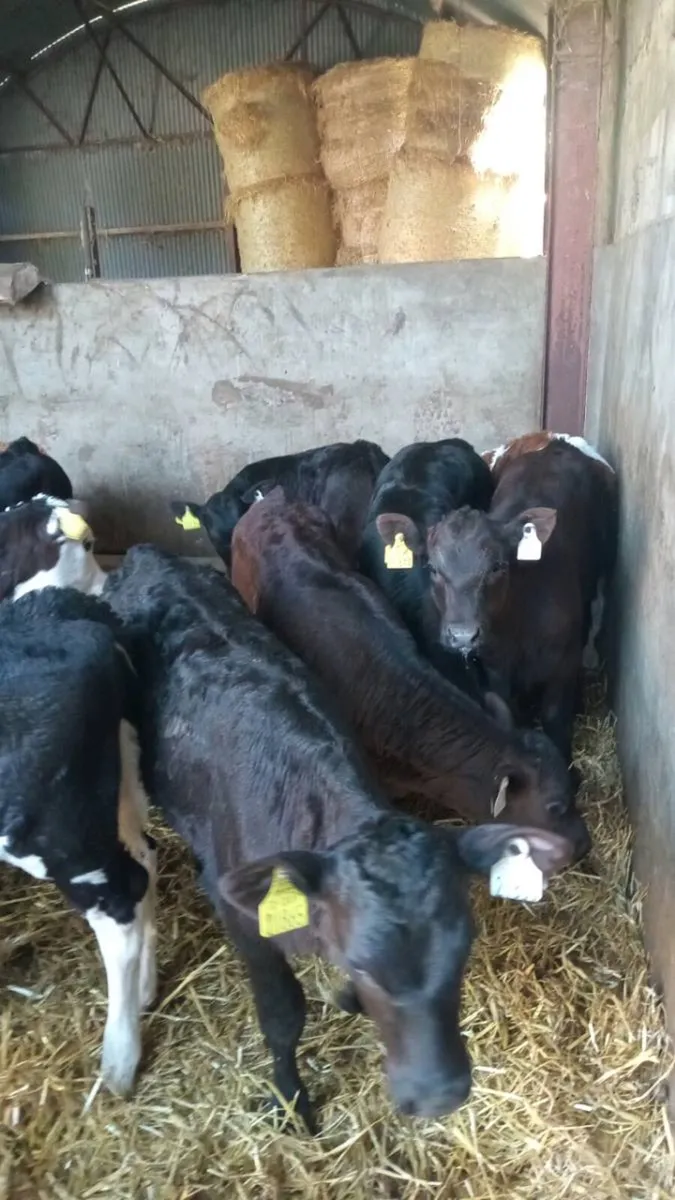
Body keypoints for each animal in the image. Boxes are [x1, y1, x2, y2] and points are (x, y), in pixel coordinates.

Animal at [103, 546, 575, 1129]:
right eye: (365, 965)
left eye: (462, 951)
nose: (439, 1095)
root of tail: (146, 553)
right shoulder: (244, 921)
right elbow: (283, 1016)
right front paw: (292, 1099)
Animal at [418, 436, 618, 759]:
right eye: (434, 568)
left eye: (497, 566)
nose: (463, 635)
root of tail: (557, 442)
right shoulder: (496, 668)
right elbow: (508, 711)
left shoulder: (563, 666)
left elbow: (555, 720)